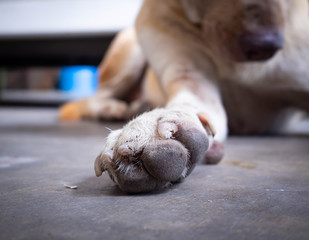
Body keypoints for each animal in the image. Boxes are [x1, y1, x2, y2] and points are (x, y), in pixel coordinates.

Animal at [59, 0, 308, 192]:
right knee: (91, 100)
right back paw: (113, 109)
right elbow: (188, 102)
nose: (265, 45)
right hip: (128, 51)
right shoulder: (189, 75)